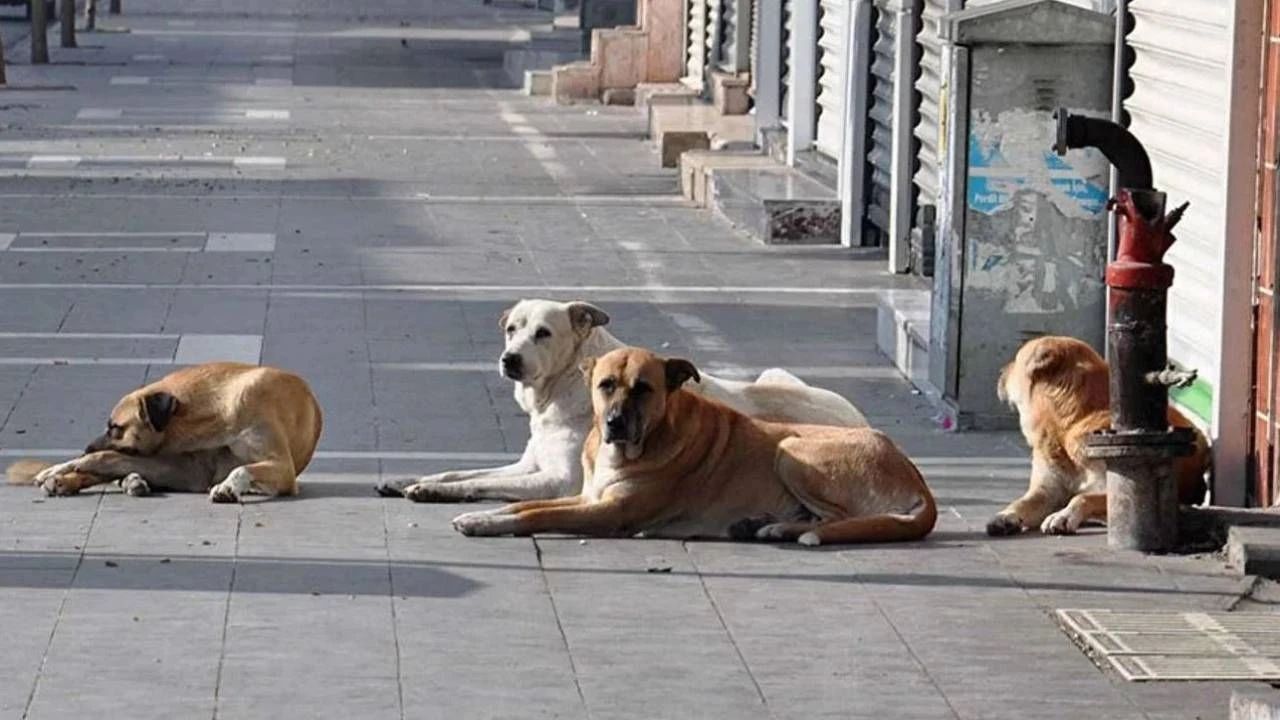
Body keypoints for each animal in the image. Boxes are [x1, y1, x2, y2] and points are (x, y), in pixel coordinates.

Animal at [7, 361, 325, 502]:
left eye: (115, 427)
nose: (86, 446)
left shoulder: (282, 469)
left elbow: (241, 468)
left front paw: (227, 487)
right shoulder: (187, 467)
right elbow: (101, 459)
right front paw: (60, 468)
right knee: (109, 467)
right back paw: (67, 479)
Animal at [453, 348, 942, 543]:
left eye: (644, 388)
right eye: (605, 385)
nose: (614, 423)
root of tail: (917, 479)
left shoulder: (607, 512)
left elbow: (534, 515)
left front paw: (485, 524)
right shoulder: (586, 496)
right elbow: (521, 506)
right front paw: (484, 514)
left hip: (791, 451)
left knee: (841, 519)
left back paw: (788, 530)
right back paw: (770, 526)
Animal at [988, 335, 1208, 532]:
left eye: (1016, 360)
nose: (1000, 371)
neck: (1071, 424)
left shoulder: (1116, 488)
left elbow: (1082, 497)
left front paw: (1063, 515)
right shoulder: (1046, 491)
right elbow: (1022, 502)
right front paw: (1006, 515)